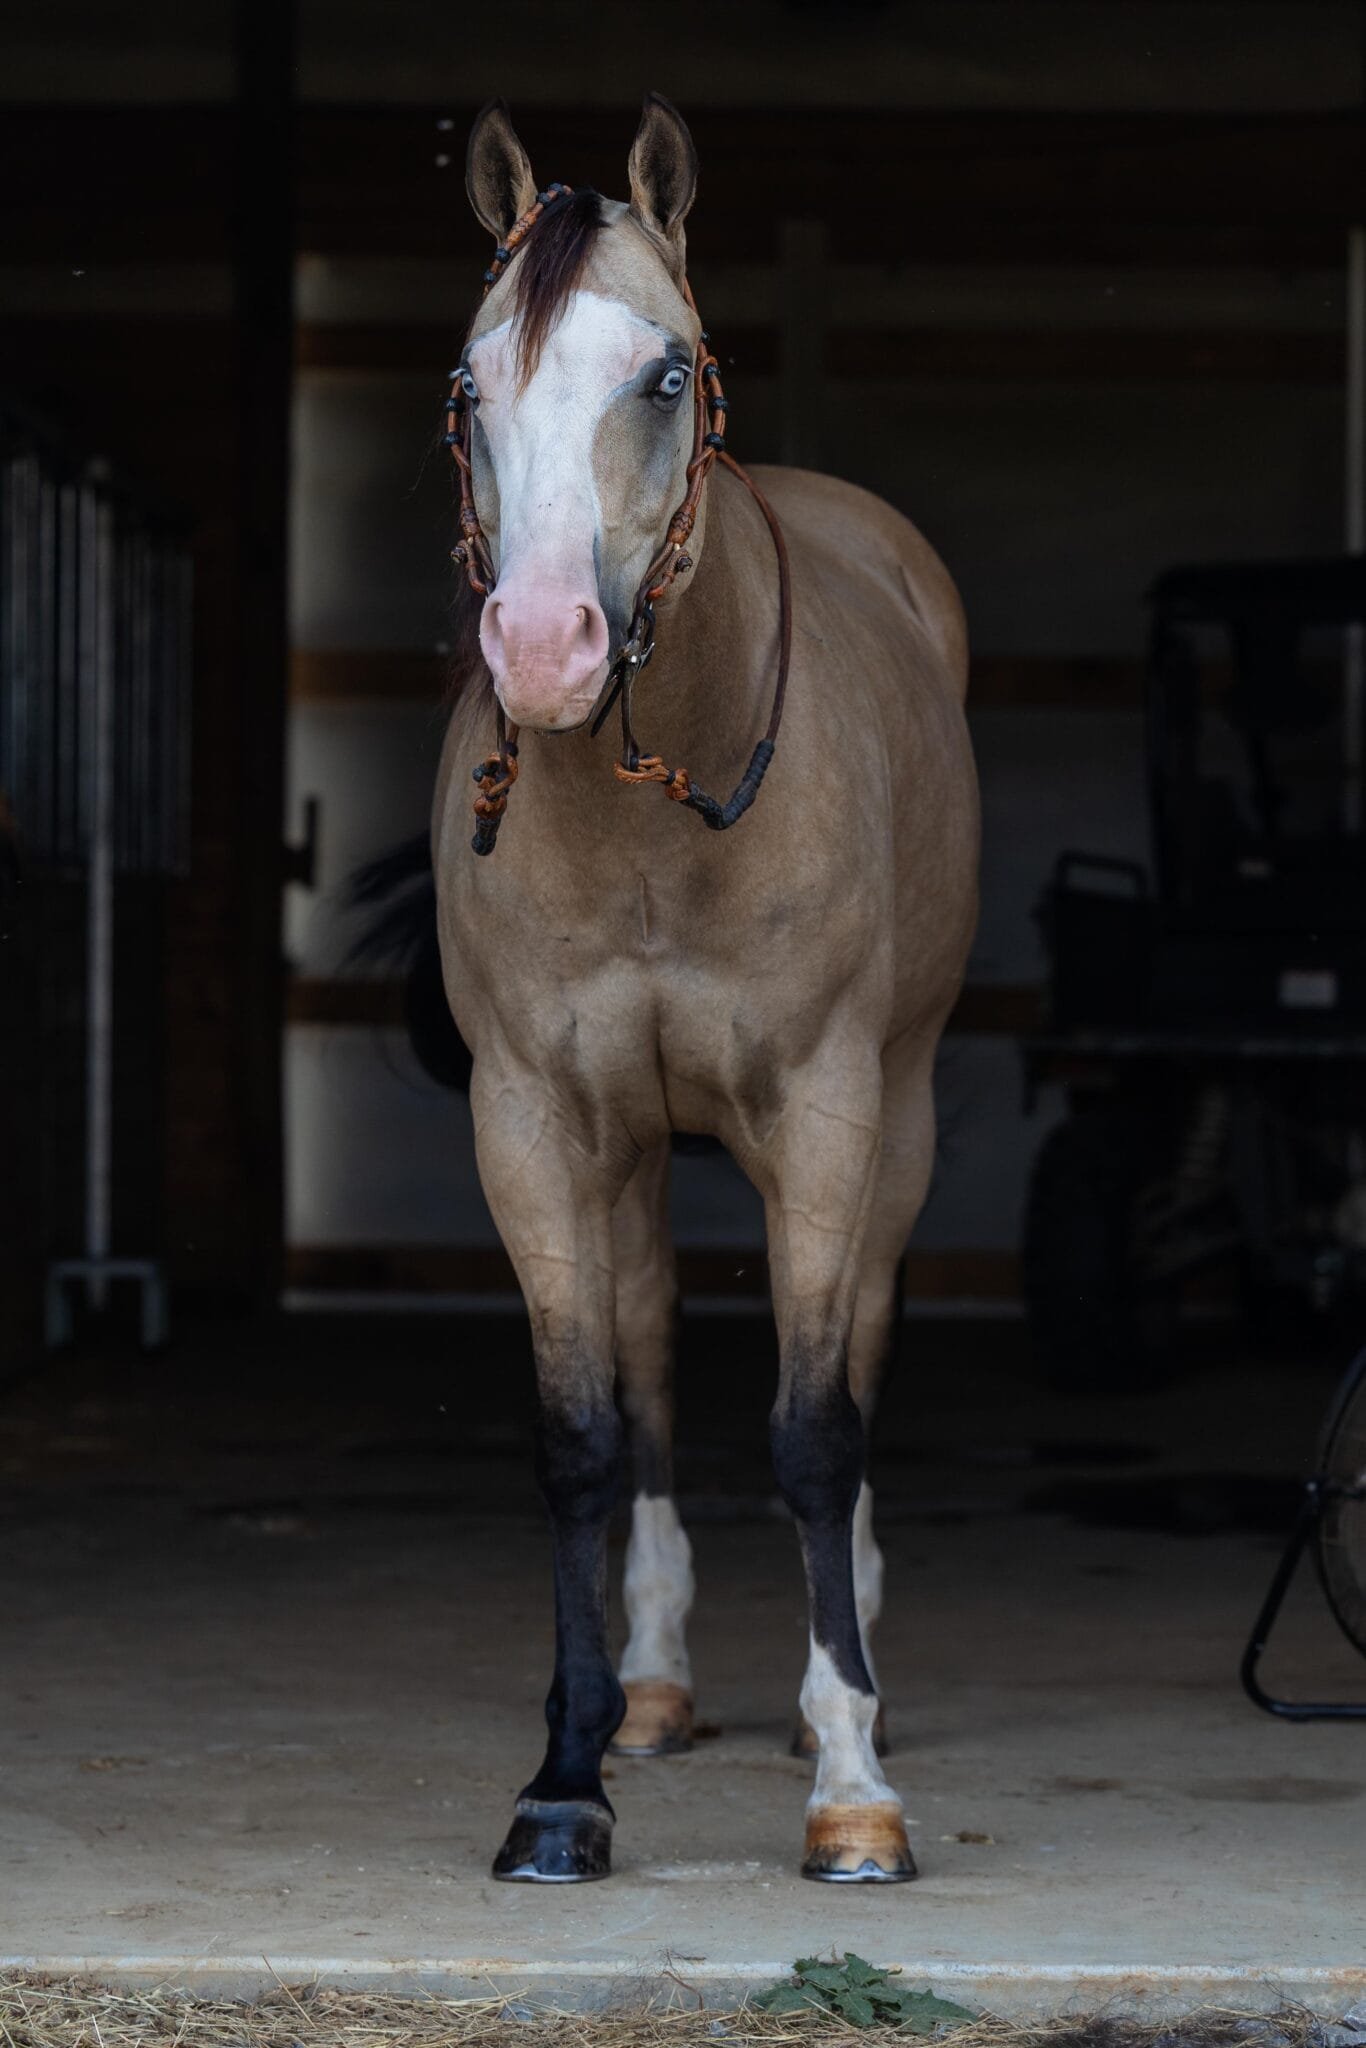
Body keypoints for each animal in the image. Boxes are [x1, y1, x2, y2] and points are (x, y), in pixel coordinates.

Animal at [429, 94, 978, 1885]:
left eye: (662, 375)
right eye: (470, 387)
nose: (543, 647)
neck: (653, 817)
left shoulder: (828, 1107)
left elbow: (814, 1425)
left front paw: (851, 1785)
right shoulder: (533, 1121)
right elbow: (585, 1433)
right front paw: (564, 1779)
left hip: (902, 1116)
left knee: (856, 1348)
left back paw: (847, 1682)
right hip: (629, 1155)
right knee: (654, 1348)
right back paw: (657, 1692)